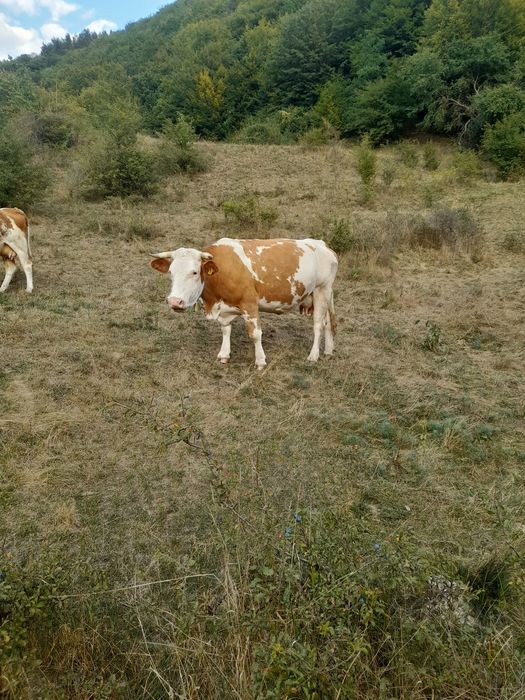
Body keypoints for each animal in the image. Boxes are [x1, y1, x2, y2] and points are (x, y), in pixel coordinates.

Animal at [150, 238, 338, 368]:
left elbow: (255, 334)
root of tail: (322, 244)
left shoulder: (249, 303)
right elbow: (226, 330)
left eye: (194, 272)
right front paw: (224, 354)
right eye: (171, 272)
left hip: (322, 289)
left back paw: (313, 355)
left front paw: (260, 361)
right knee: (328, 322)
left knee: (318, 324)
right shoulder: (225, 309)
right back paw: (328, 351)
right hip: (322, 293)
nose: (174, 301)